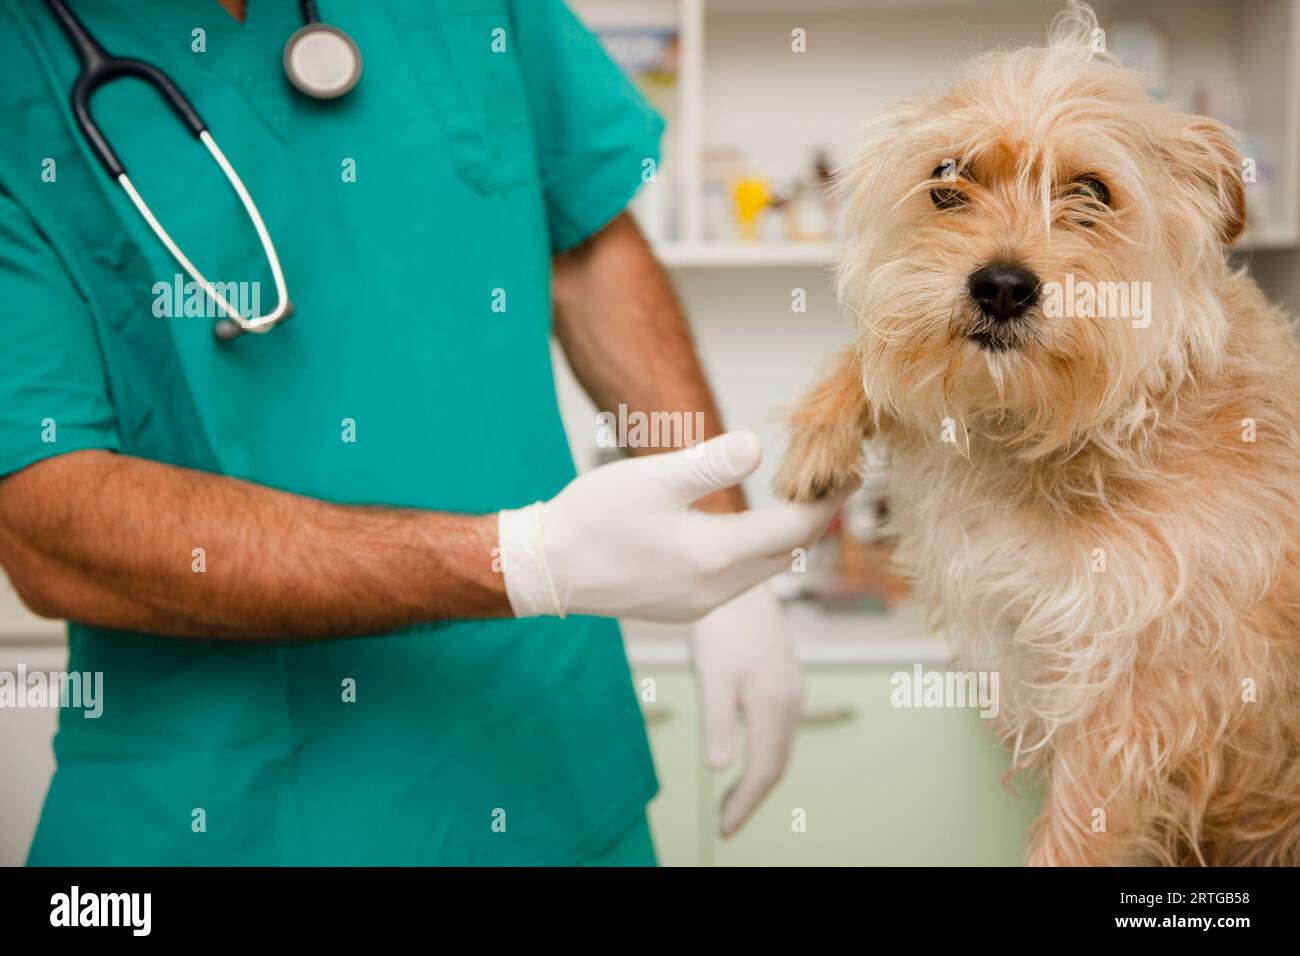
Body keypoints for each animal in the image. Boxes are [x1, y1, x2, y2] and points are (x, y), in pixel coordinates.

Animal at [774, 0, 1294, 868]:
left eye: (1092, 192)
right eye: (948, 181)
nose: (1001, 286)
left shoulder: (1134, 702)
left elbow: (1078, 832)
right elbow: (884, 357)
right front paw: (820, 435)